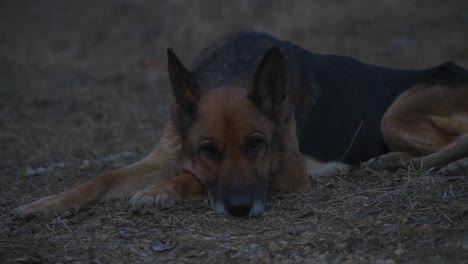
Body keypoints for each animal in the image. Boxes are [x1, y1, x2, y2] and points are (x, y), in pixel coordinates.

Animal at [12, 32, 466, 219]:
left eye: (257, 144)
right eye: (208, 150)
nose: (240, 210)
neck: (232, 70)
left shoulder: (290, 173)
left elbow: (192, 179)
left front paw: (161, 191)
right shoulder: (168, 153)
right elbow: (101, 178)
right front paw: (47, 204)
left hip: (395, 112)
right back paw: (393, 161)